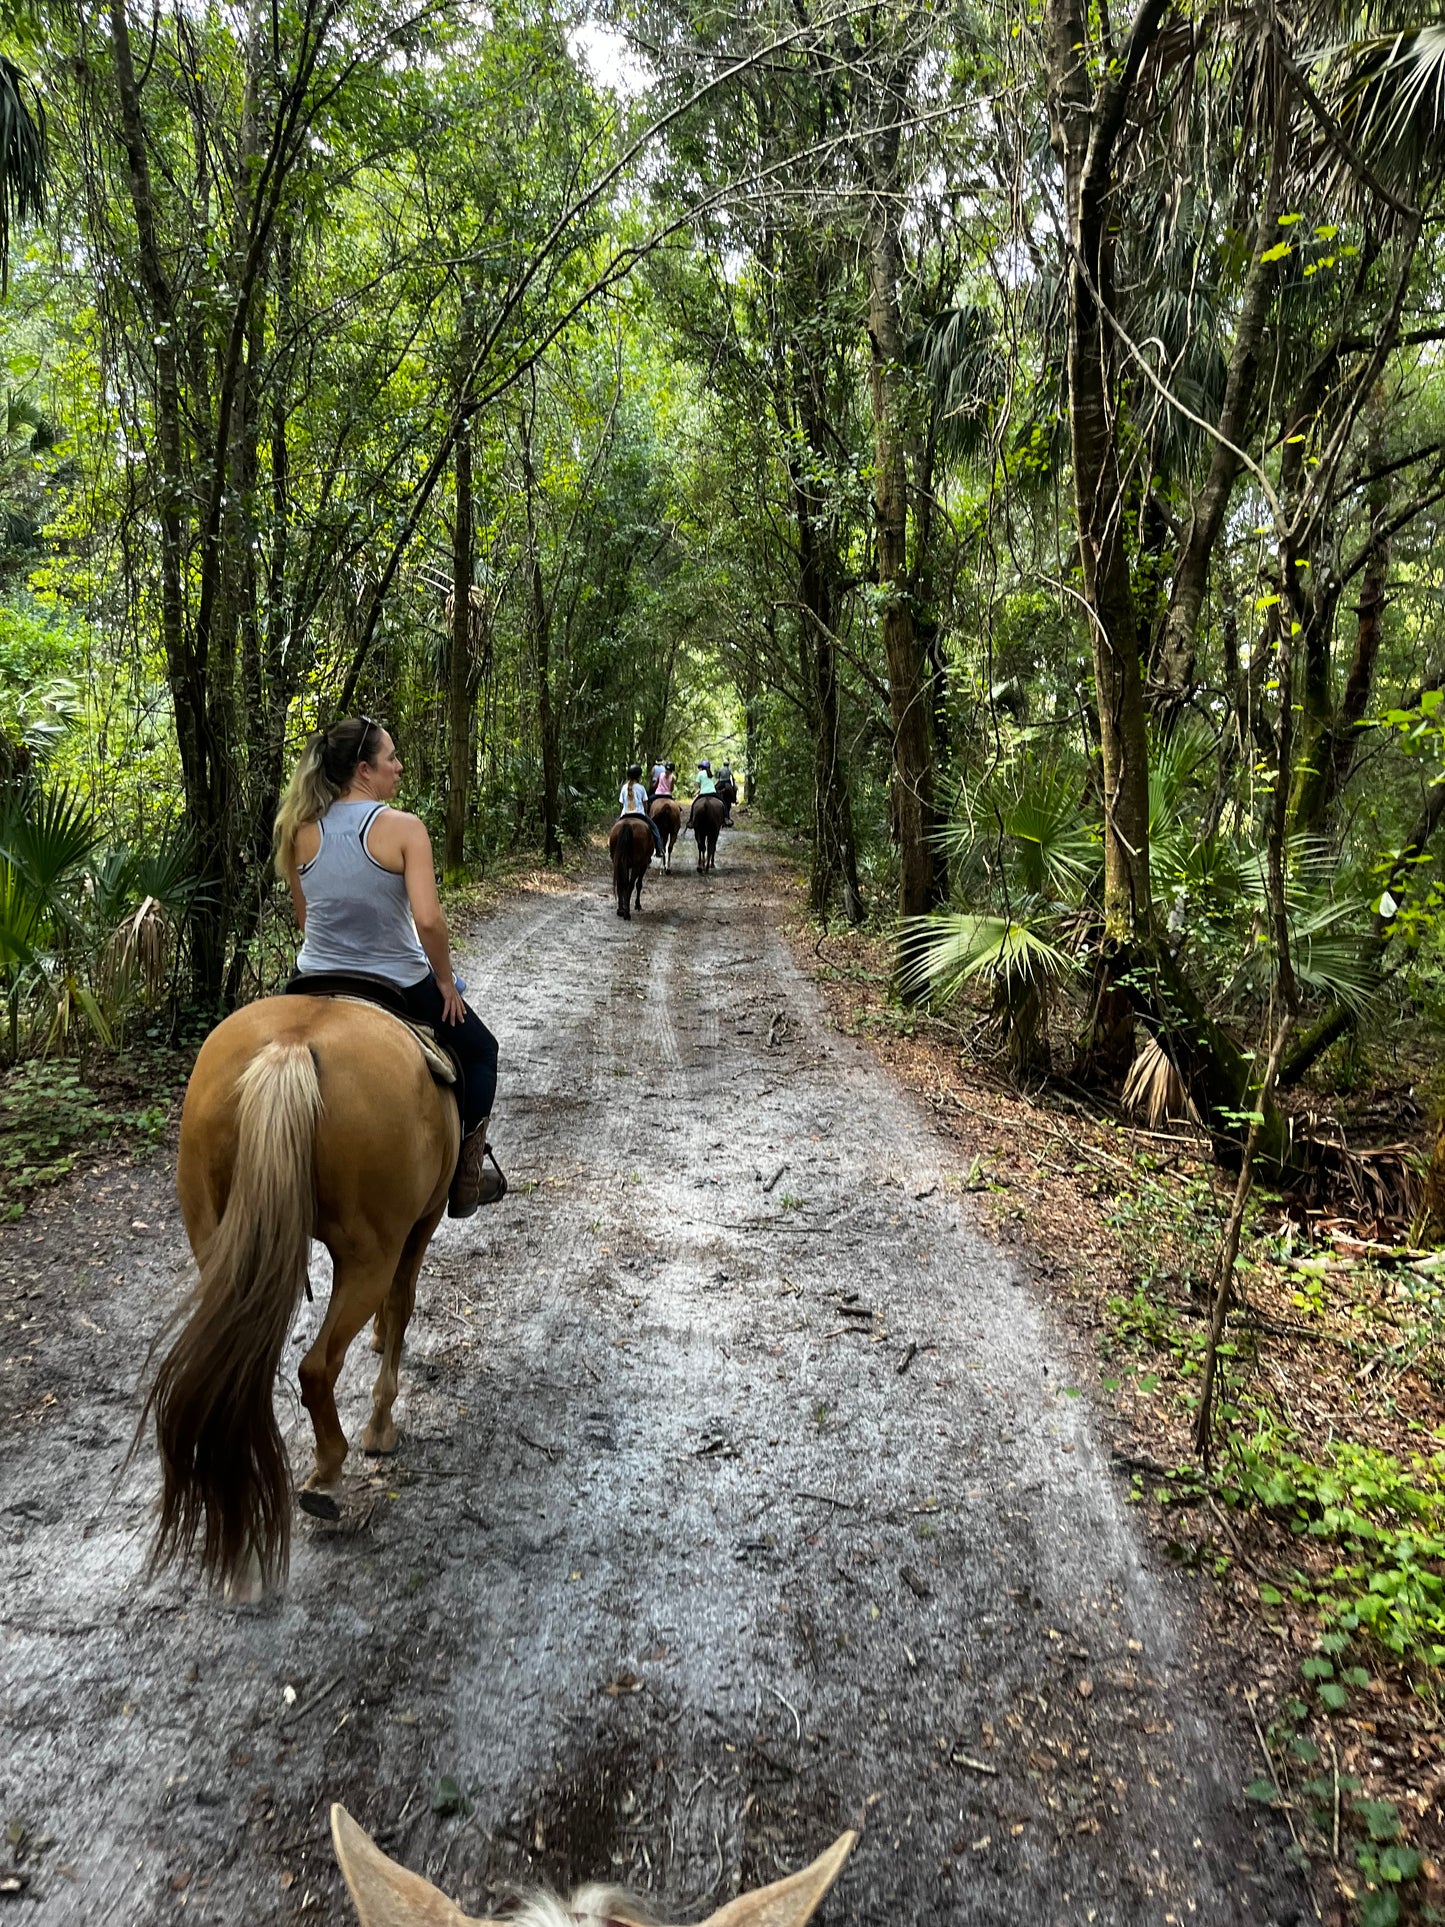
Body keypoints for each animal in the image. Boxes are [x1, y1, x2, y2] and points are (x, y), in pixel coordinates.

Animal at [141, 994, 458, 1595]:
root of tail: (289, 1048)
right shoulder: (421, 1225)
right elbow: (402, 1305)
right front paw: (381, 1425)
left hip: (213, 1233)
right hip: (371, 1252)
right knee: (317, 1367)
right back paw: (328, 1472)